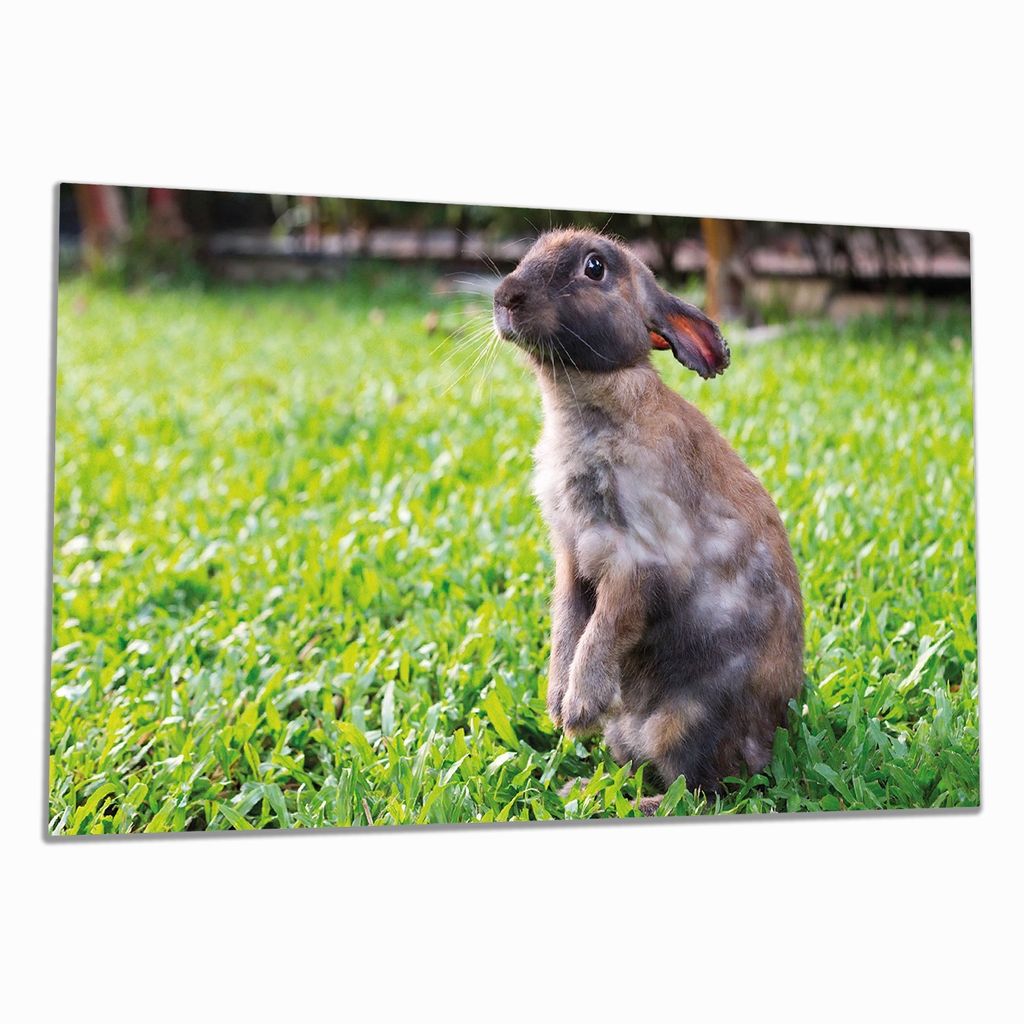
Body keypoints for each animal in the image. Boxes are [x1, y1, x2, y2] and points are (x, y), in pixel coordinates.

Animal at [492, 229, 804, 813]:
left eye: (595, 268)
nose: (504, 297)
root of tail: (768, 745)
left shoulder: (637, 562)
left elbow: (604, 628)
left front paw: (576, 710)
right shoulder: (571, 559)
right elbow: (567, 623)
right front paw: (556, 703)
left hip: (685, 723)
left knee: (698, 790)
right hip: (631, 732)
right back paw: (580, 789)